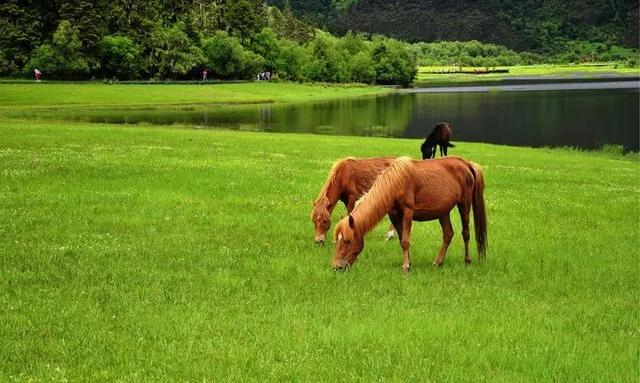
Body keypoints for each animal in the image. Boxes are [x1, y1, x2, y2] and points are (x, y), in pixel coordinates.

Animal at [336, 156, 484, 272]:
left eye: (347, 241)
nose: (337, 267)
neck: (396, 183)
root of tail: (466, 164)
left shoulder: (407, 212)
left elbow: (405, 240)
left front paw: (406, 266)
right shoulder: (394, 215)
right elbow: (402, 240)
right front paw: (409, 262)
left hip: (464, 204)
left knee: (466, 233)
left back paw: (467, 261)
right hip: (443, 212)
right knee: (448, 234)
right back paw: (438, 262)